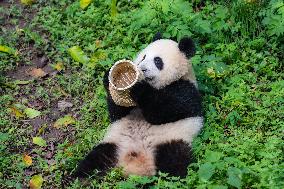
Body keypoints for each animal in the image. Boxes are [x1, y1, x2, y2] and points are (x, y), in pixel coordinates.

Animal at [73, 34, 202, 179]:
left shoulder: (186, 90)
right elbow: (117, 112)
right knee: (96, 158)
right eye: (143, 57)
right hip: (115, 143)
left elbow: (163, 111)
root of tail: (133, 167)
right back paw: (78, 177)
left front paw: (138, 87)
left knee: (174, 160)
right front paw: (109, 76)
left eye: (158, 61)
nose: (143, 69)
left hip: (170, 140)